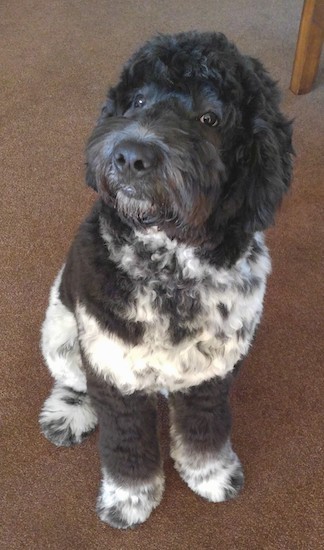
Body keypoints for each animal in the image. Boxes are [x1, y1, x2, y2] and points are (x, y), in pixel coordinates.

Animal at [39, 31, 294, 532]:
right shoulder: (112, 370)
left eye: (209, 117)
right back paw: (68, 413)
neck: (170, 268)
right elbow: (126, 446)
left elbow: (205, 430)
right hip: (59, 327)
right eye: (136, 101)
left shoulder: (212, 373)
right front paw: (130, 498)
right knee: (72, 378)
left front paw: (210, 473)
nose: (131, 154)